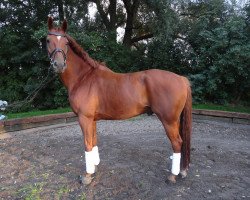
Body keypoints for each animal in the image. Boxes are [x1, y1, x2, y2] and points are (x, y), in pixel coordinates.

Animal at [46, 18, 191, 185]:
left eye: (66, 43)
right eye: (48, 40)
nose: (59, 65)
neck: (83, 78)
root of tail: (181, 78)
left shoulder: (84, 118)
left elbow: (87, 145)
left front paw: (87, 175)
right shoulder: (92, 120)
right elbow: (94, 142)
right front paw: (94, 168)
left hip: (169, 120)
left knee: (177, 143)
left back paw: (173, 175)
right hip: (175, 120)